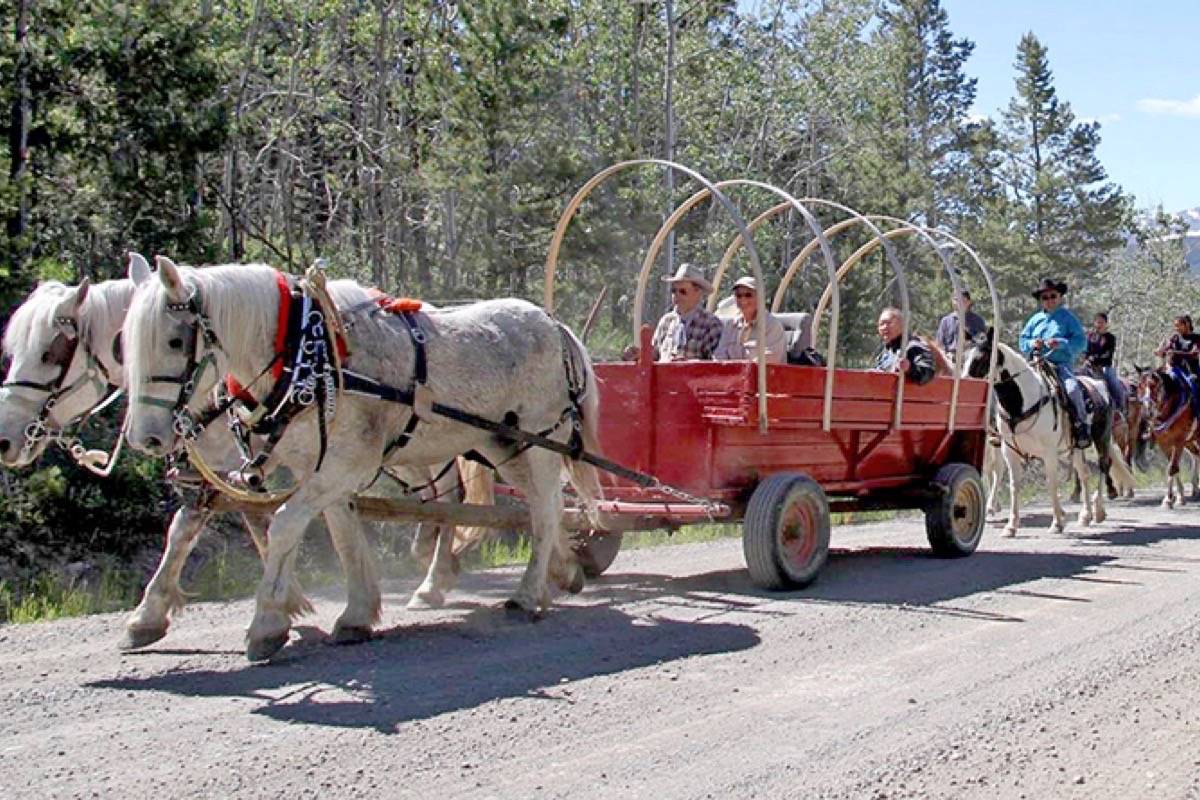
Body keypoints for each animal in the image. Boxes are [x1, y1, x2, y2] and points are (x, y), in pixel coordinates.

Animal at [126, 257, 604, 662]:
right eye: (125, 348)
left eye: (174, 341)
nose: (146, 437)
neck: (306, 353)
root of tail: (555, 324)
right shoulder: (319, 467)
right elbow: (342, 533)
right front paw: (356, 614)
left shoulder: (344, 464)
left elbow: (284, 525)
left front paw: (266, 625)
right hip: (501, 445)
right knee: (537, 506)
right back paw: (558, 572)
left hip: (541, 443)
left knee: (544, 510)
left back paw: (527, 594)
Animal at [960, 328, 1137, 542]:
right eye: (964, 357)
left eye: (982, 357)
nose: (963, 386)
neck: (1022, 403)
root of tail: (1098, 385)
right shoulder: (1009, 451)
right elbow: (1013, 485)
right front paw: (1011, 526)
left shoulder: (1049, 452)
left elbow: (1051, 483)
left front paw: (1057, 523)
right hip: (1077, 446)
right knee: (1084, 473)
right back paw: (1085, 515)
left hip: (1101, 437)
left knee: (1104, 466)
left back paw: (1099, 511)